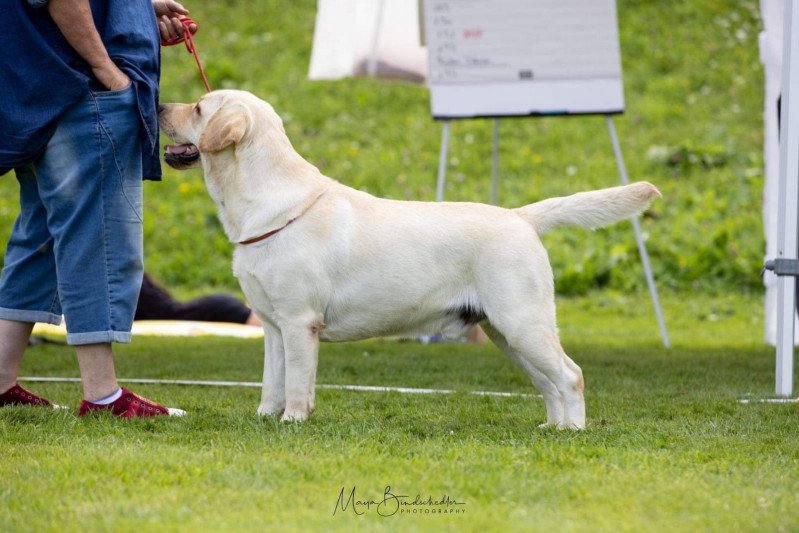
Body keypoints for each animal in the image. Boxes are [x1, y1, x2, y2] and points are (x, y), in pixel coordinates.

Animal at [158, 90, 664, 428]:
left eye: (198, 108)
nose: (159, 105)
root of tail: (521, 217)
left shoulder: (301, 323)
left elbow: (298, 382)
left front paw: (293, 421)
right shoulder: (272, 325)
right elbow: (271, 380)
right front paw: (266, 417)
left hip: (524, 323)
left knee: (572, 375)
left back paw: (573, 431)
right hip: (508, 335)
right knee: (549, 382)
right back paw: (552, 427)